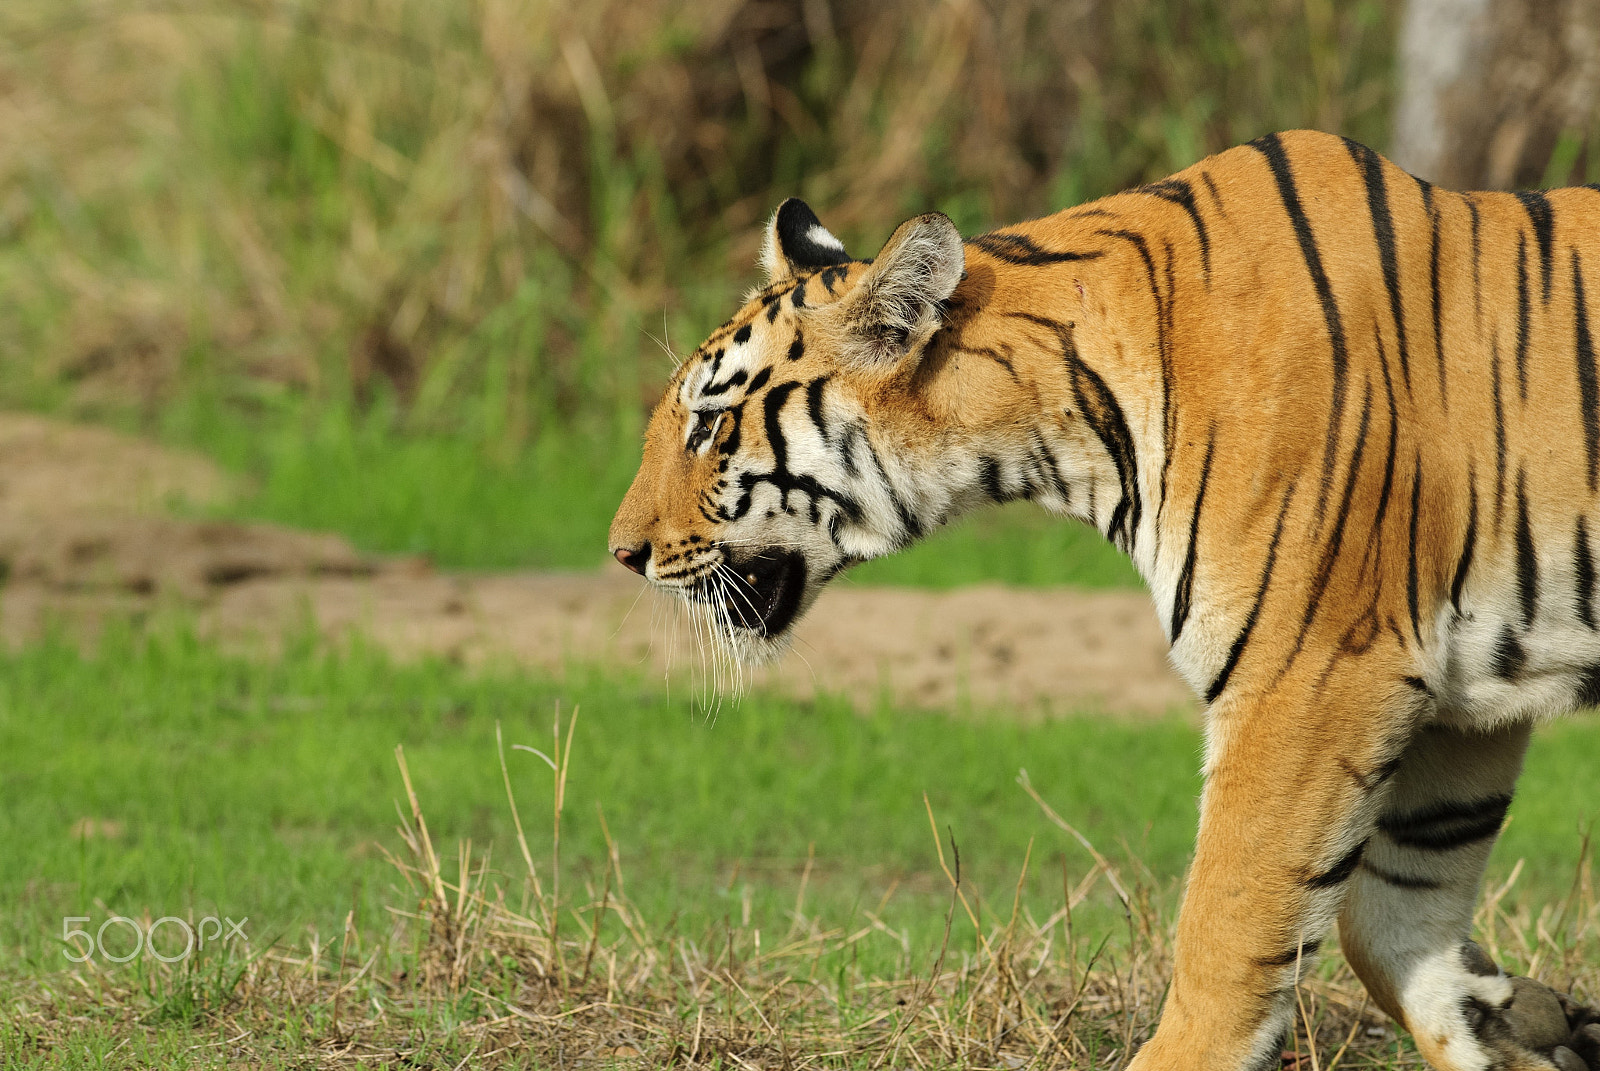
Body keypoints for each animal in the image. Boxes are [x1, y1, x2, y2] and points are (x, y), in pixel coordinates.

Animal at [609, 129, 1600, 1070]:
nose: (623, 552)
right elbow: (1394, 921)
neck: (1062, 427)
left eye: (709, 425)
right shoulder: (1463, 705)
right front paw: (1514, 1026)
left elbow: (1230, 922)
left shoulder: (1310, 676)